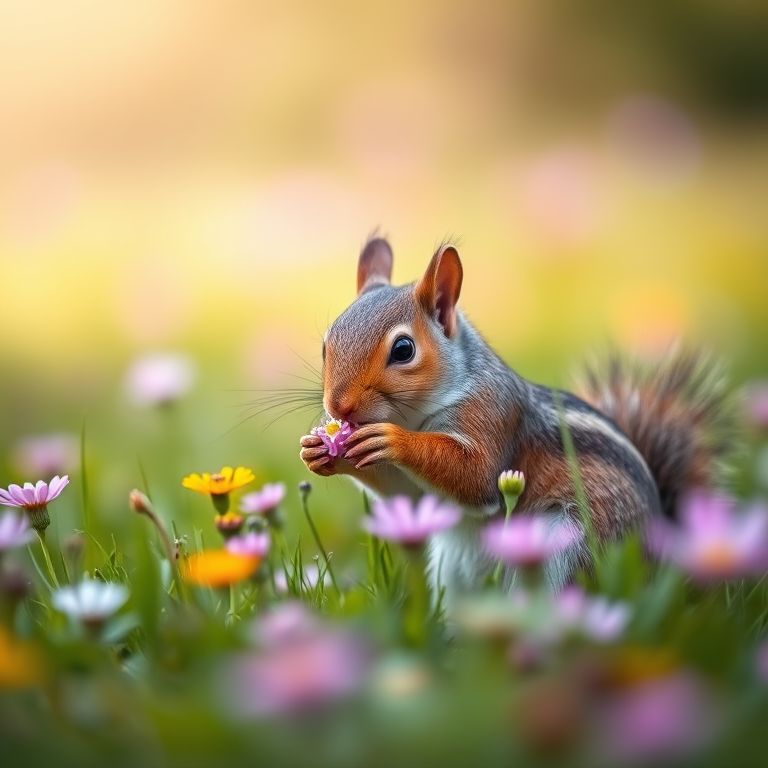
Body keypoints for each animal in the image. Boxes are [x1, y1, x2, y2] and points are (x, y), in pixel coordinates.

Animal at [299, 236, 734, 598]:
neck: (413, 415)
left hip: (570, 548)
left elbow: (477, 478)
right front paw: (318, 452)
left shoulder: (495, 415)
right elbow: (411, 496)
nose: (339, 408)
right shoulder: (424, 497)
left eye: (403, 349)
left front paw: (391, 440)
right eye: (325, 346)